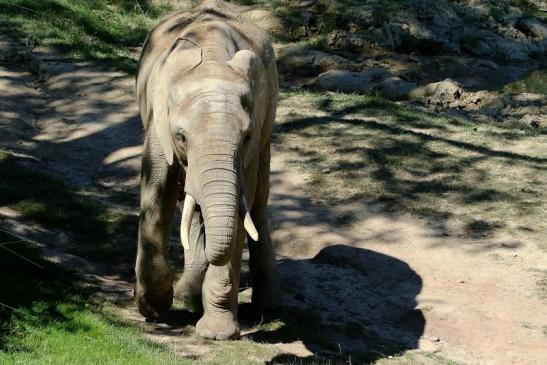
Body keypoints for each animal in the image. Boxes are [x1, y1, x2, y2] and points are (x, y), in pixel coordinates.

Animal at [134, 0, 280, 340]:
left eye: (246, 137)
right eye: (181, 137)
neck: (211, 63)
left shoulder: (252, 141)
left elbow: (241, 209)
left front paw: (216, 334)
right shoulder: (159, 121)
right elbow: (156, 188)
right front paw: (153, 308)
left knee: (258, 204)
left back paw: (266, 304)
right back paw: (186, 296)